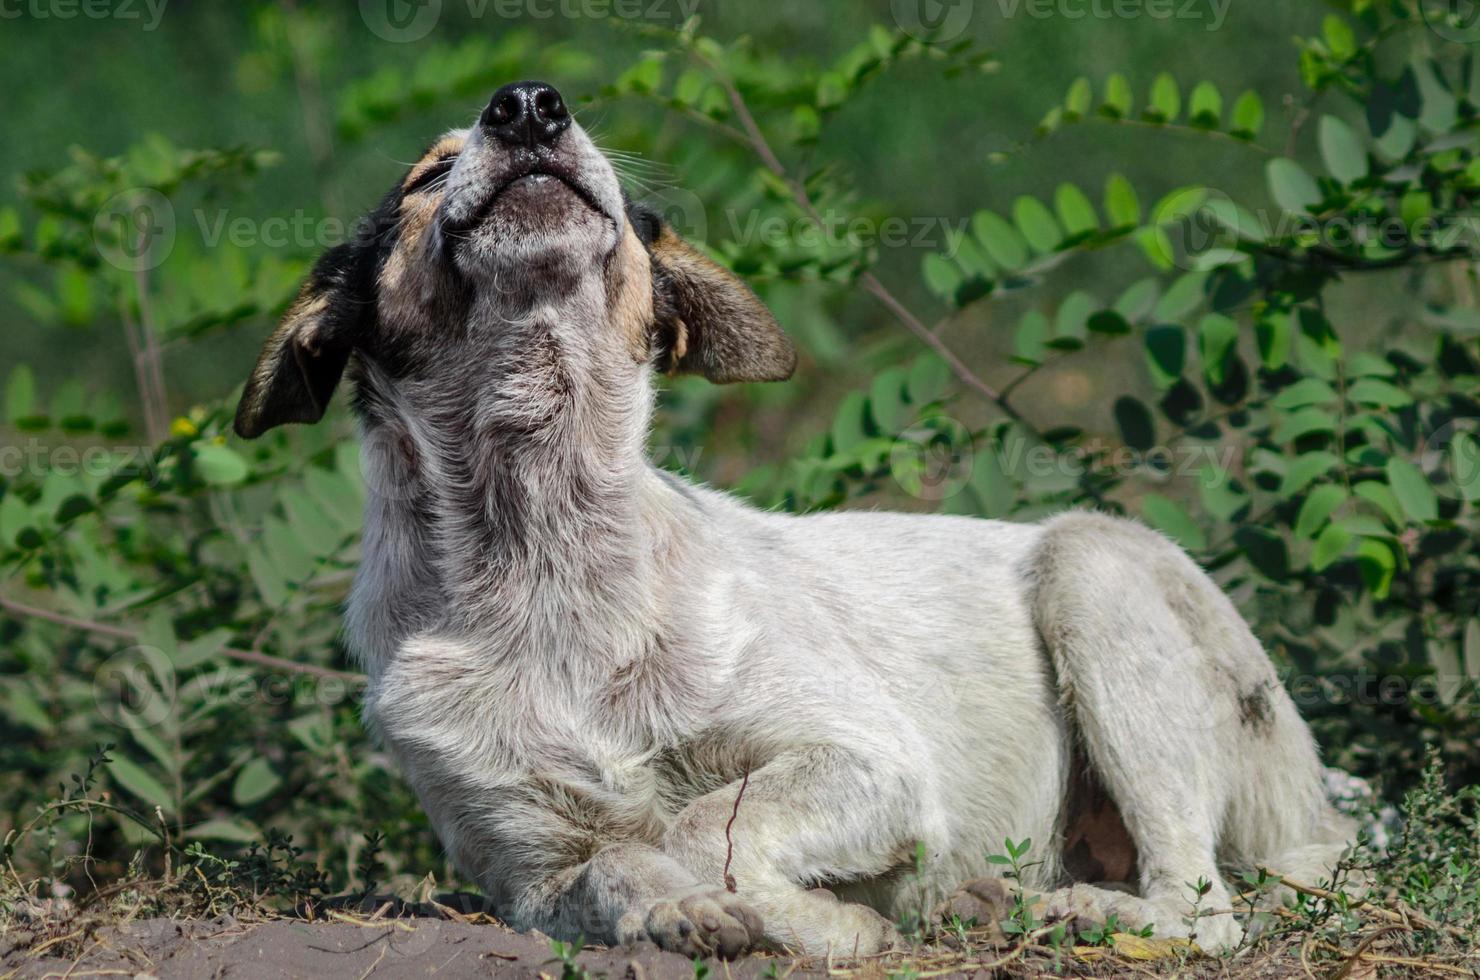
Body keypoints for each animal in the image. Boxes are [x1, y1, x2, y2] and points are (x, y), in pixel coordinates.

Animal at [236, 82, 1355, 959]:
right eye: (426, 177)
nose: (528, 103)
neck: (546, 552)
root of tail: (1323, 806)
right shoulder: (529, 872)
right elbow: (617, 865)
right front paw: (710, 914)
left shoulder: (872, 760)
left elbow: (696, 824)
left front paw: (824, 919)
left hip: (1094, 569)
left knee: (1207, 912)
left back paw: (1071, 910)